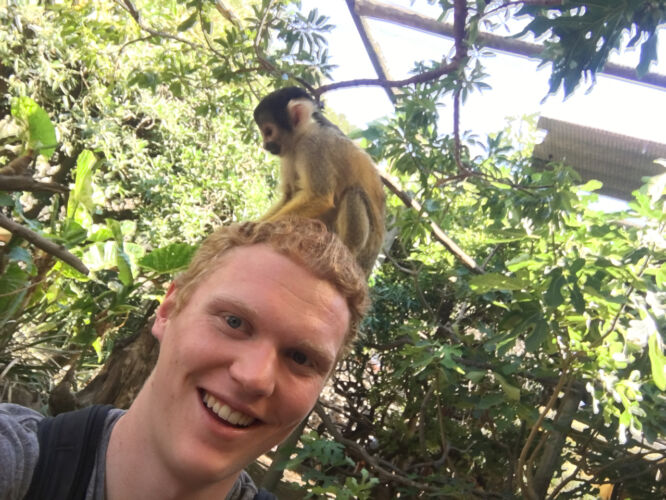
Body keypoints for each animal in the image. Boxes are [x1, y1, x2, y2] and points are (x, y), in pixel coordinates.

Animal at [253, 87, 385, 275]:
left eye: (268, 131)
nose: (265, 145)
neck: (303, 134)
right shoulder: (289, 151)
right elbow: (289, 195)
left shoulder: (314, 145)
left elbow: (320, 196)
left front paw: (262, 226)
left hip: (366, 250)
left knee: (354, 193)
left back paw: (345, 251)